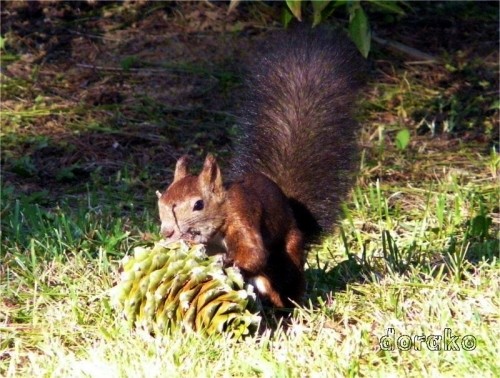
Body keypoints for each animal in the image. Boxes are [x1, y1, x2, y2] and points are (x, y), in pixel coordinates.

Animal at [156, 25, 368, 308]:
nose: (167, 232)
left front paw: (228, 262)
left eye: (198, 204)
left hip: (286, 258)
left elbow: (254, 253)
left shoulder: (242, 215)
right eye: (161, 203)